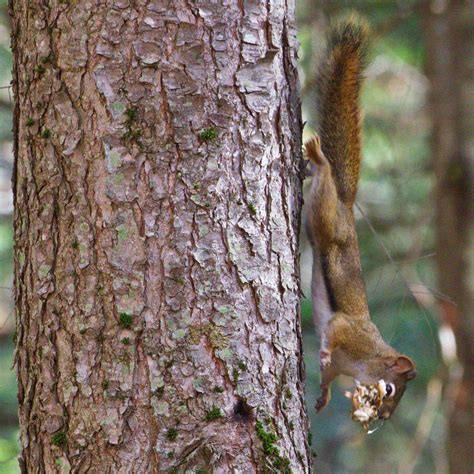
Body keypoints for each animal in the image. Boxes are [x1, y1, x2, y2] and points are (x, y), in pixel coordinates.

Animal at [306, 16, 416, 420]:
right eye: (390, 388)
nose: (382, 417)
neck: (366, 358)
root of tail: (347, 203)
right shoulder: (349, 331)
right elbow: (335, 328)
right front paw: (322, 351)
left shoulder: (342, 364)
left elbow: (327, 376)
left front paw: (322, 397)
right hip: (327, 220)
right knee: (323, 185)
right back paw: (318, 159)